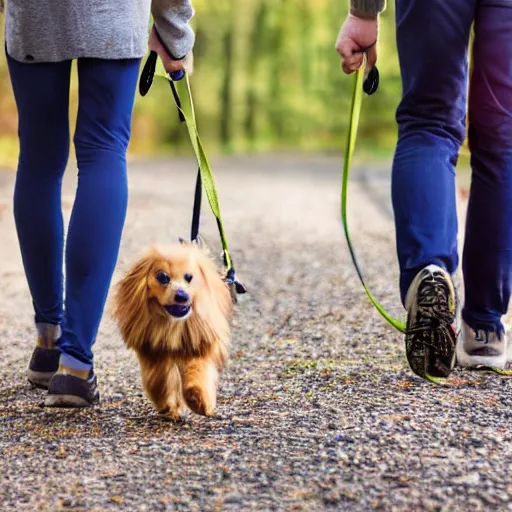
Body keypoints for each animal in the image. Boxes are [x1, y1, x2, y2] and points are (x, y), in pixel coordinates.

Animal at [113, 245, 233, 420]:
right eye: (162, 277)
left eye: (189, 277)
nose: (182, 296)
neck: (171, 325)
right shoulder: (155, 353)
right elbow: (161, 381)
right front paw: (169, 406)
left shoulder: (196, 346)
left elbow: (197, 372)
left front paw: (197, 399)